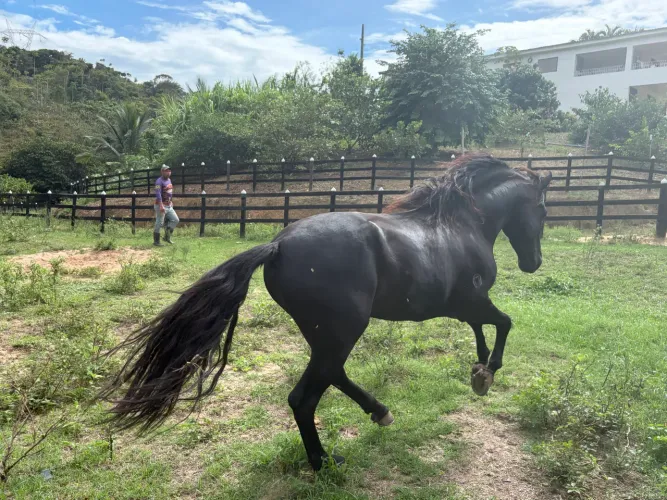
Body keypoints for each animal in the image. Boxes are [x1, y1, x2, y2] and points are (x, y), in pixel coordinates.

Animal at [103, 155, 552, 471]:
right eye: (545, 211)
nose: (534, 263)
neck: (461, 226)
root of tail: (278, 246)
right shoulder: (471, 300)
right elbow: (503, 322)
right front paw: (488, 373)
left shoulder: (465, 305)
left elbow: (483, 327)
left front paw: (479, 369)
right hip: (344, 329)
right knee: (305, 397)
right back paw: (325, 461)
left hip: (326, 332)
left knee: (330, 374)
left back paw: (377, 414)